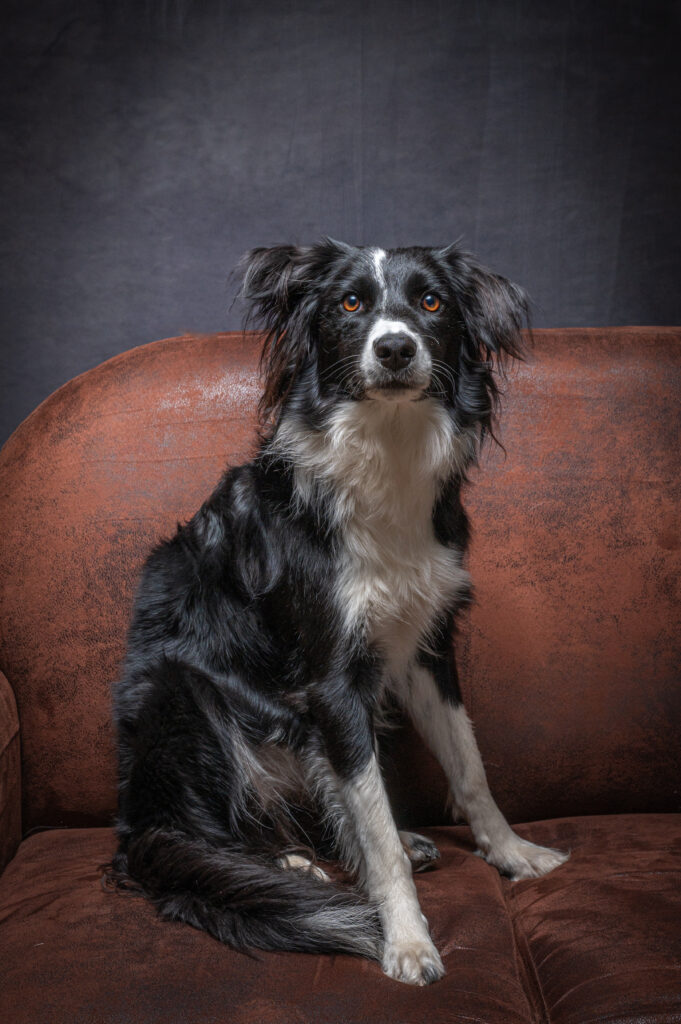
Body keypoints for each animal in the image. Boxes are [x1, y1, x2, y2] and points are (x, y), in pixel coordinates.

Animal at [109, 239, 569, 983]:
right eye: (350, 304)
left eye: (430, 301)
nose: (394, 348)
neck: (386, 448)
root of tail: (135, 823)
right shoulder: (329, 678)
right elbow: (372, 825)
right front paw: (407, 939)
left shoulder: (425, 646)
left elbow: (467, 765)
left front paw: (510, 852)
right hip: (178, 693)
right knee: (208, 827)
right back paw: (283, 864)